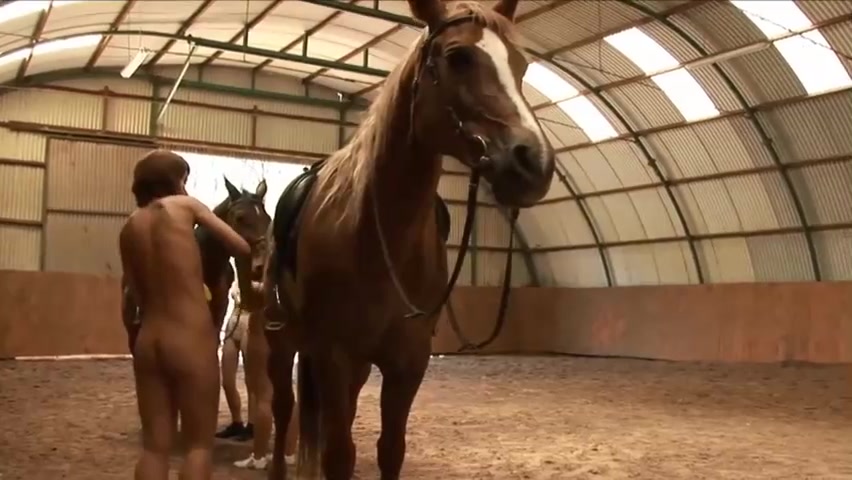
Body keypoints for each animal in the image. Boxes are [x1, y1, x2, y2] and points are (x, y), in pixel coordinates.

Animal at [262, 1, 555, 478]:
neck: (379, 236)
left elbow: (390, 449)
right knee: (284, 409)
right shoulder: (333, 354)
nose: (535, 164)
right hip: (282, 343)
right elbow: (338, 454)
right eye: (458, 57)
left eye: (521, 65)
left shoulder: (408, 362)